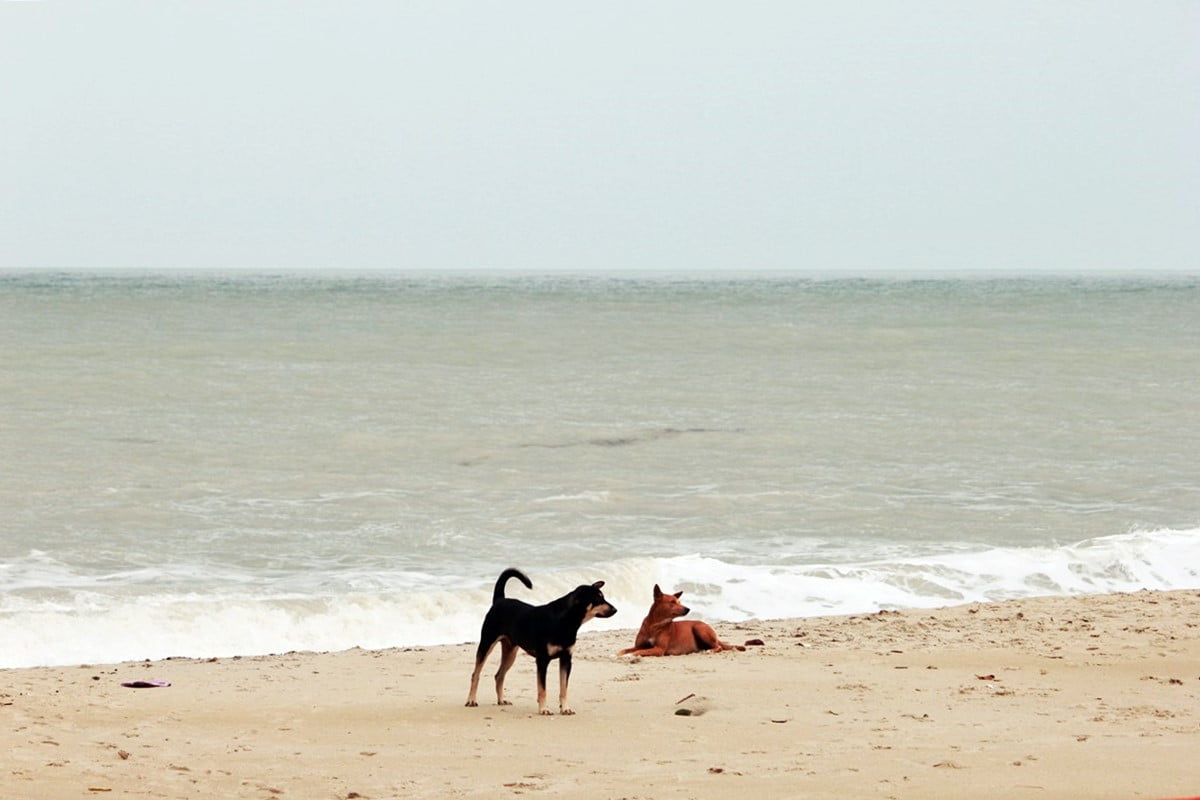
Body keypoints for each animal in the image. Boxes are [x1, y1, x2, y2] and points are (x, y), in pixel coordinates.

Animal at [465, 566, 619, 714]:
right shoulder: (542, 660)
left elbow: (564, 688)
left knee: (499, 676)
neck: (565, 621)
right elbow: (542, 689)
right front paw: (544, 709)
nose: (615, 610)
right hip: (487, 643)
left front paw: (565, 708)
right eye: (598, 599)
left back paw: (501, 700)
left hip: (510, 652)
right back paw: (471, 700)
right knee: (475, 674)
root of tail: (499, 600)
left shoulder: (566, 659)